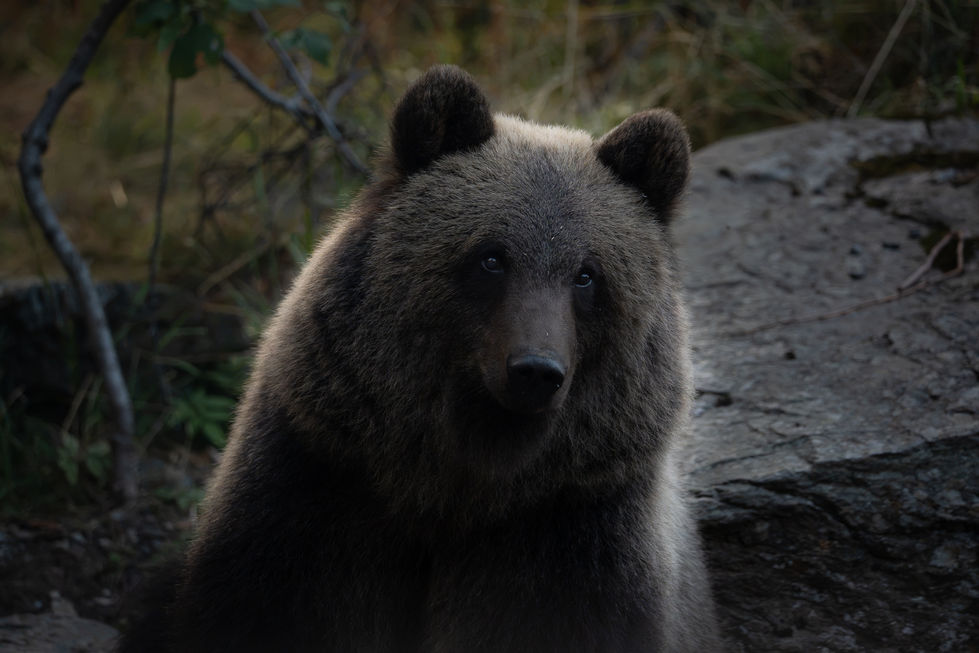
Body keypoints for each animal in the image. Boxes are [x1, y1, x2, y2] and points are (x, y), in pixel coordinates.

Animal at [119, 64, 721, 653]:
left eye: (587, 274)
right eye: (492, 257)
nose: (535, 371)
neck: (453, 482)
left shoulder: (573, 530)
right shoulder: (317, 485)